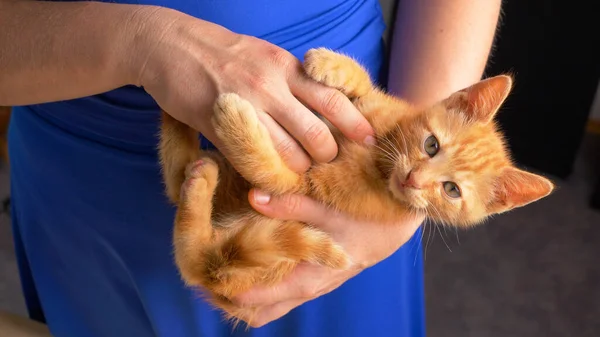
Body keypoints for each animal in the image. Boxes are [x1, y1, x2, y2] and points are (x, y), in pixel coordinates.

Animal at [158, 47, 552, 322]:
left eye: (452, 190)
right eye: (431, 145)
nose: (413, 178)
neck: (381, 158)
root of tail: (218, 280)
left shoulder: (306, 187)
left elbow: (275, 176)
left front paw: (237, 125)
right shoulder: (377, 112)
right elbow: (366, 89)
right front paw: (331, 65)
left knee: (185, 222)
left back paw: (199, 173)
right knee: (176, 184)